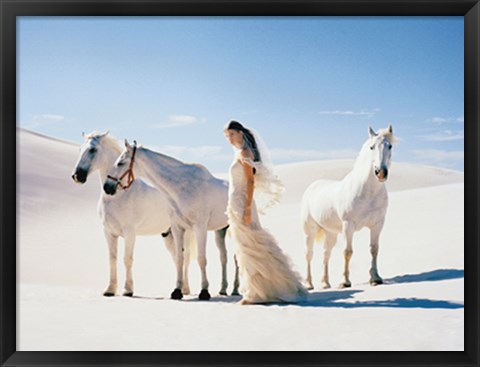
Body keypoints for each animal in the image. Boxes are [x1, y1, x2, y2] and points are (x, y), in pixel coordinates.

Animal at [71, 132, 195, 300]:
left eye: (92, 150)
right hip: (168, 235)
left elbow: (127, 259)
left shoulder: (130, 233)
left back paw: (186, 289)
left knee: (186, 257)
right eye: (79, 149)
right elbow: (112, 259)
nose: (77, 176)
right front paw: (110, 289)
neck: (119, 195)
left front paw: (128, 290)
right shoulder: (109, 233)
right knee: (177, 258)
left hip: (185, 233)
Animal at [103, 141, 238, 302]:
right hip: (220, 231)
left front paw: (204, 292)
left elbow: (201, 258)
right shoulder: (177, 227)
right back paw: (223, 289)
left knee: (238, 258)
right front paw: (177, 291)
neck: (182, 187)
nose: (107, 187)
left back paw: (237, 289)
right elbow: (180, 258)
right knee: (224, 257)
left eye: (121, 163)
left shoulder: (200, 227)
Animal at [302, 126, 396, 290]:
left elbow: (374, 249)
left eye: (389, 146)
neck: (368, 192)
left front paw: (375, 278)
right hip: (310, 230)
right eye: (371, 147)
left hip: (331, 233)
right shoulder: (348, 225)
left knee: (326, 254)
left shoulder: (377, 225)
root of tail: (312, 186)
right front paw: (345, 282)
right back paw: (308, 284)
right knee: (309, 254)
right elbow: (347, 252)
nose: (381, 172)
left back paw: (325, 283)